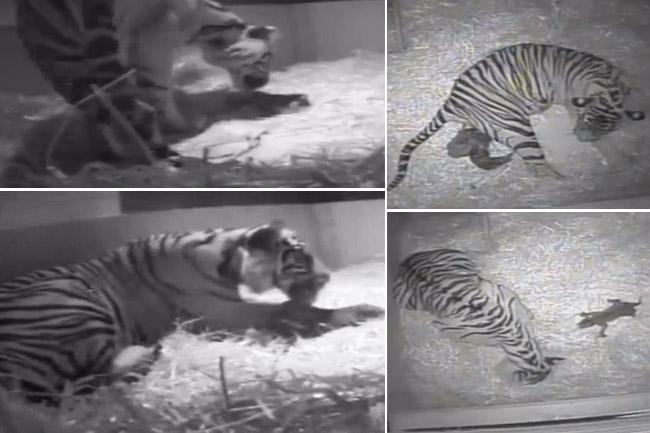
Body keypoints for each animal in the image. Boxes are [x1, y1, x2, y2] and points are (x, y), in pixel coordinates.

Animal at [0, 221, 384, 401]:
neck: (225, 261)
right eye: (301, 255)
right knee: (95, 377)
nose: (328, 276)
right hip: (71, 299)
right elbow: (297, 312)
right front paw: (359, 311)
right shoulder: (222, 312)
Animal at [14, 0, 283, 165]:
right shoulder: (154, 46)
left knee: (103, 109)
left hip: (64, 62)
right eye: (267, 58)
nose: (264, 82)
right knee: (126, 106)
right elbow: (158, 93)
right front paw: (185, 125)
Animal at [388, 43, 646, 190]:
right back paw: (567, 183)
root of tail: (452, 100)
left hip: (484, 125)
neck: (609, 86)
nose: (583, 138)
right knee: (539, 167)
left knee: (463, 144)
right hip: (516, 127)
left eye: (606, 127)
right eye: (587, 121)